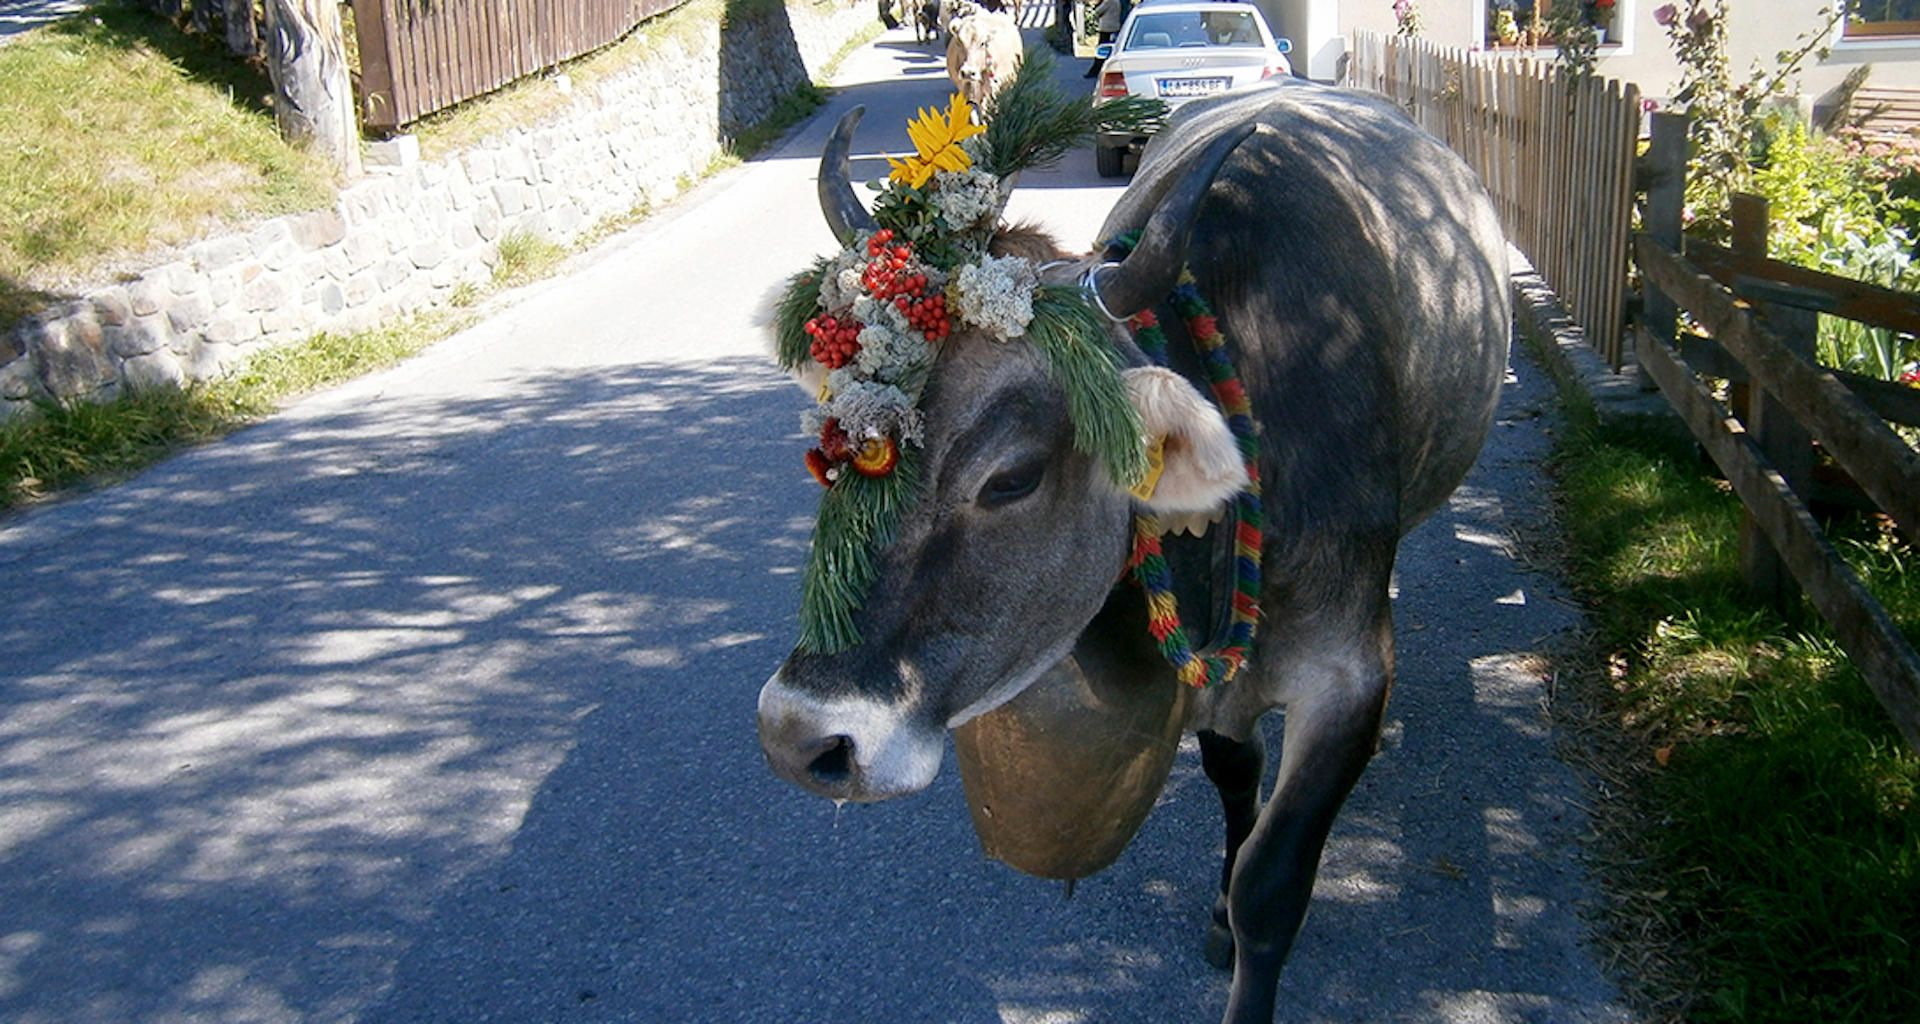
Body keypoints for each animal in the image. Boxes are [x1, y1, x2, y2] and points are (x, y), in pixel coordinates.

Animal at [756, 81, 1505, 1022]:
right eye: (842, 446)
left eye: (1012, 479)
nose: (798, 738)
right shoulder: (1222, 691)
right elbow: (1235, 774)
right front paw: (1218, 913)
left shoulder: (1350, 676)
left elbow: (1271, 886)